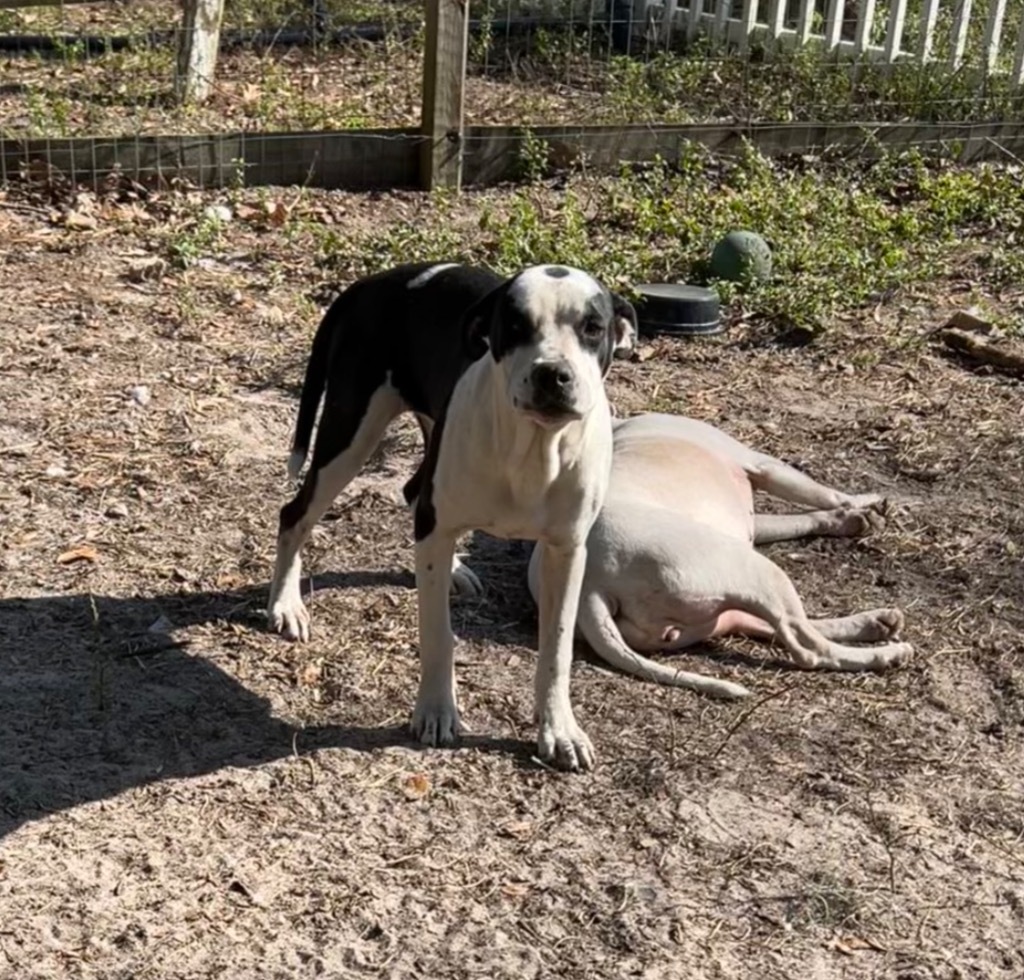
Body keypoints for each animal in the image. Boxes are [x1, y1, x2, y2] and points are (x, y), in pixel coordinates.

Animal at [528, 413, 913, 696]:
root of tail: (592, 588)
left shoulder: (754, 522)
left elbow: (802, 517)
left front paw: (851, 519)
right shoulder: (764, 465)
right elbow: (828, 494)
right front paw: (866, 501)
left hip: (720, 605)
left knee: (779, 627)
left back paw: (876, 623)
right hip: (752, 570)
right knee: (806, 646)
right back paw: (887, 653)